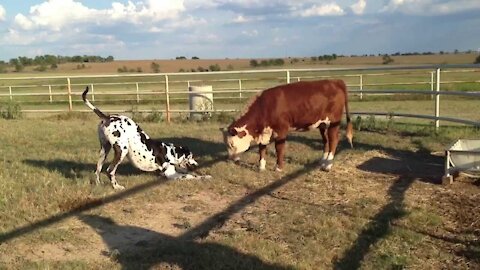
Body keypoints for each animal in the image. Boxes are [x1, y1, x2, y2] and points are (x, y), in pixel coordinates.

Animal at [221, 79, 352, 171]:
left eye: (231, 144)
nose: (230, 159)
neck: (265, 106)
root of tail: (335, 81)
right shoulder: (265, 132)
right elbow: (262, 148)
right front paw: (261, 167)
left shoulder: (281, 129)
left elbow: (279, 148)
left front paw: (278, 167)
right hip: (322, 124)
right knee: (326, 141)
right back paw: (322, 161)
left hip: (333, 122)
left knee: (334, 140)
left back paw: (328, 165)